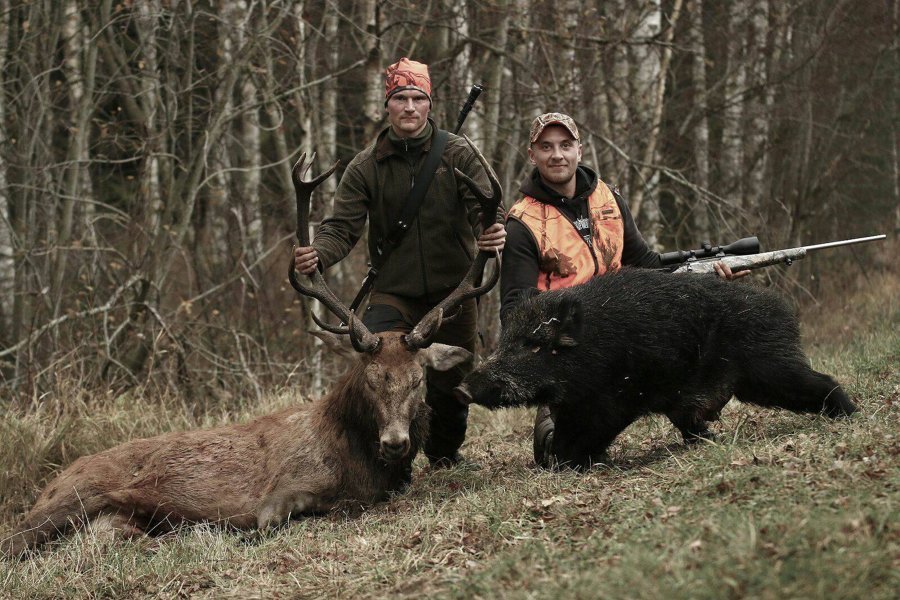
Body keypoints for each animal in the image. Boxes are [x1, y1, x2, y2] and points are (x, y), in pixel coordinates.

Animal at [2, 139, 501, 557]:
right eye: (371, 379)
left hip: (111, 520)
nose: (395, 443)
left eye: (418, 380)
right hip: (71, 497)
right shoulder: (280, 489)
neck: (355, 459)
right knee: (16, 541)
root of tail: (50, 480)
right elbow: (284, 516)